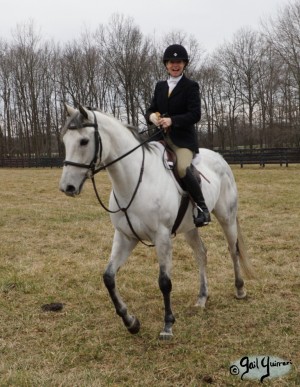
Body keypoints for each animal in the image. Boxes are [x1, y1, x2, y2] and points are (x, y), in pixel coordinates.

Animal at [58, 105, 253, 340]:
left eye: (84, 141)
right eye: (64, 140)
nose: (67, 187)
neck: (136, 180)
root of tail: (219, 157)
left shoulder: (162, 236)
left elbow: (164, 282)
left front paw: (167, 325)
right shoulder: (125, 236)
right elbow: (108, 277)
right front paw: (131, 322)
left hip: (227, 217)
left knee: (233, 250)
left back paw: (240, 289)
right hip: (189, 228)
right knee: (201, 253)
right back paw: (202, 298)